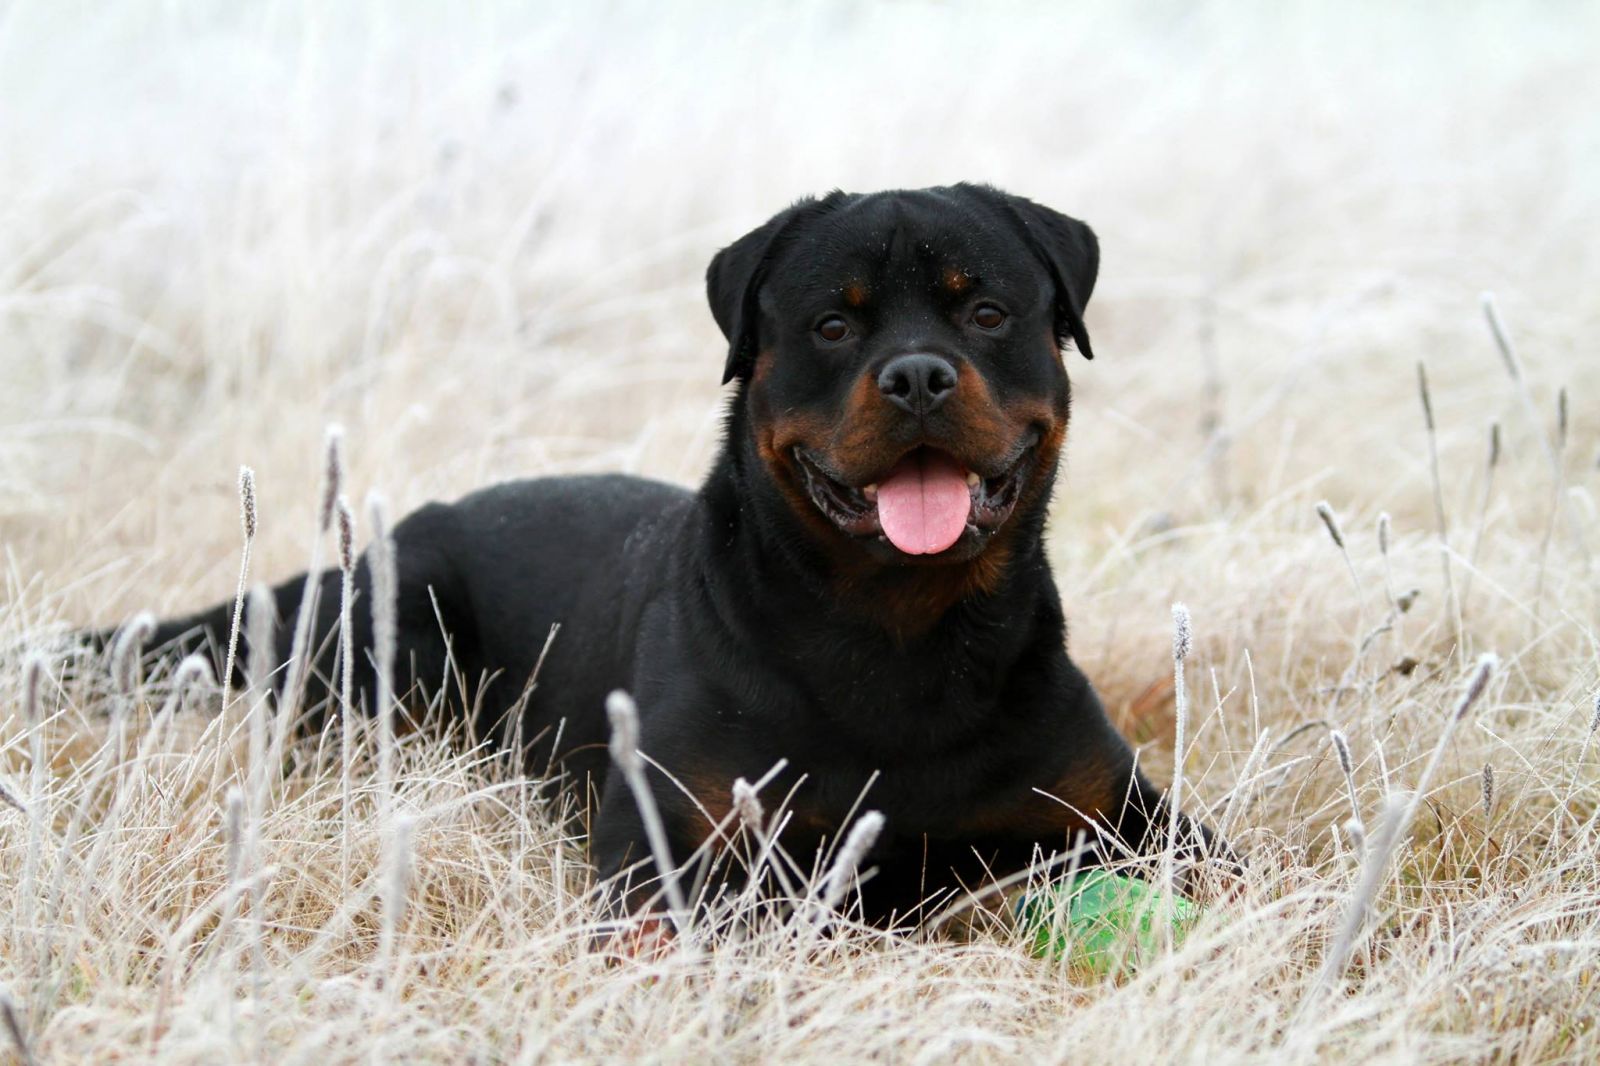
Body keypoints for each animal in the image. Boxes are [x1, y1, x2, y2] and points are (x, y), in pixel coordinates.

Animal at [140, 180, 1235, 921]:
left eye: (987, 311)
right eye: (831, 325)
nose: (919, 375)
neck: (900, 632)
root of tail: (403, 528)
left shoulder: (1132, 813)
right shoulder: (670, 840)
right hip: (397, 642)